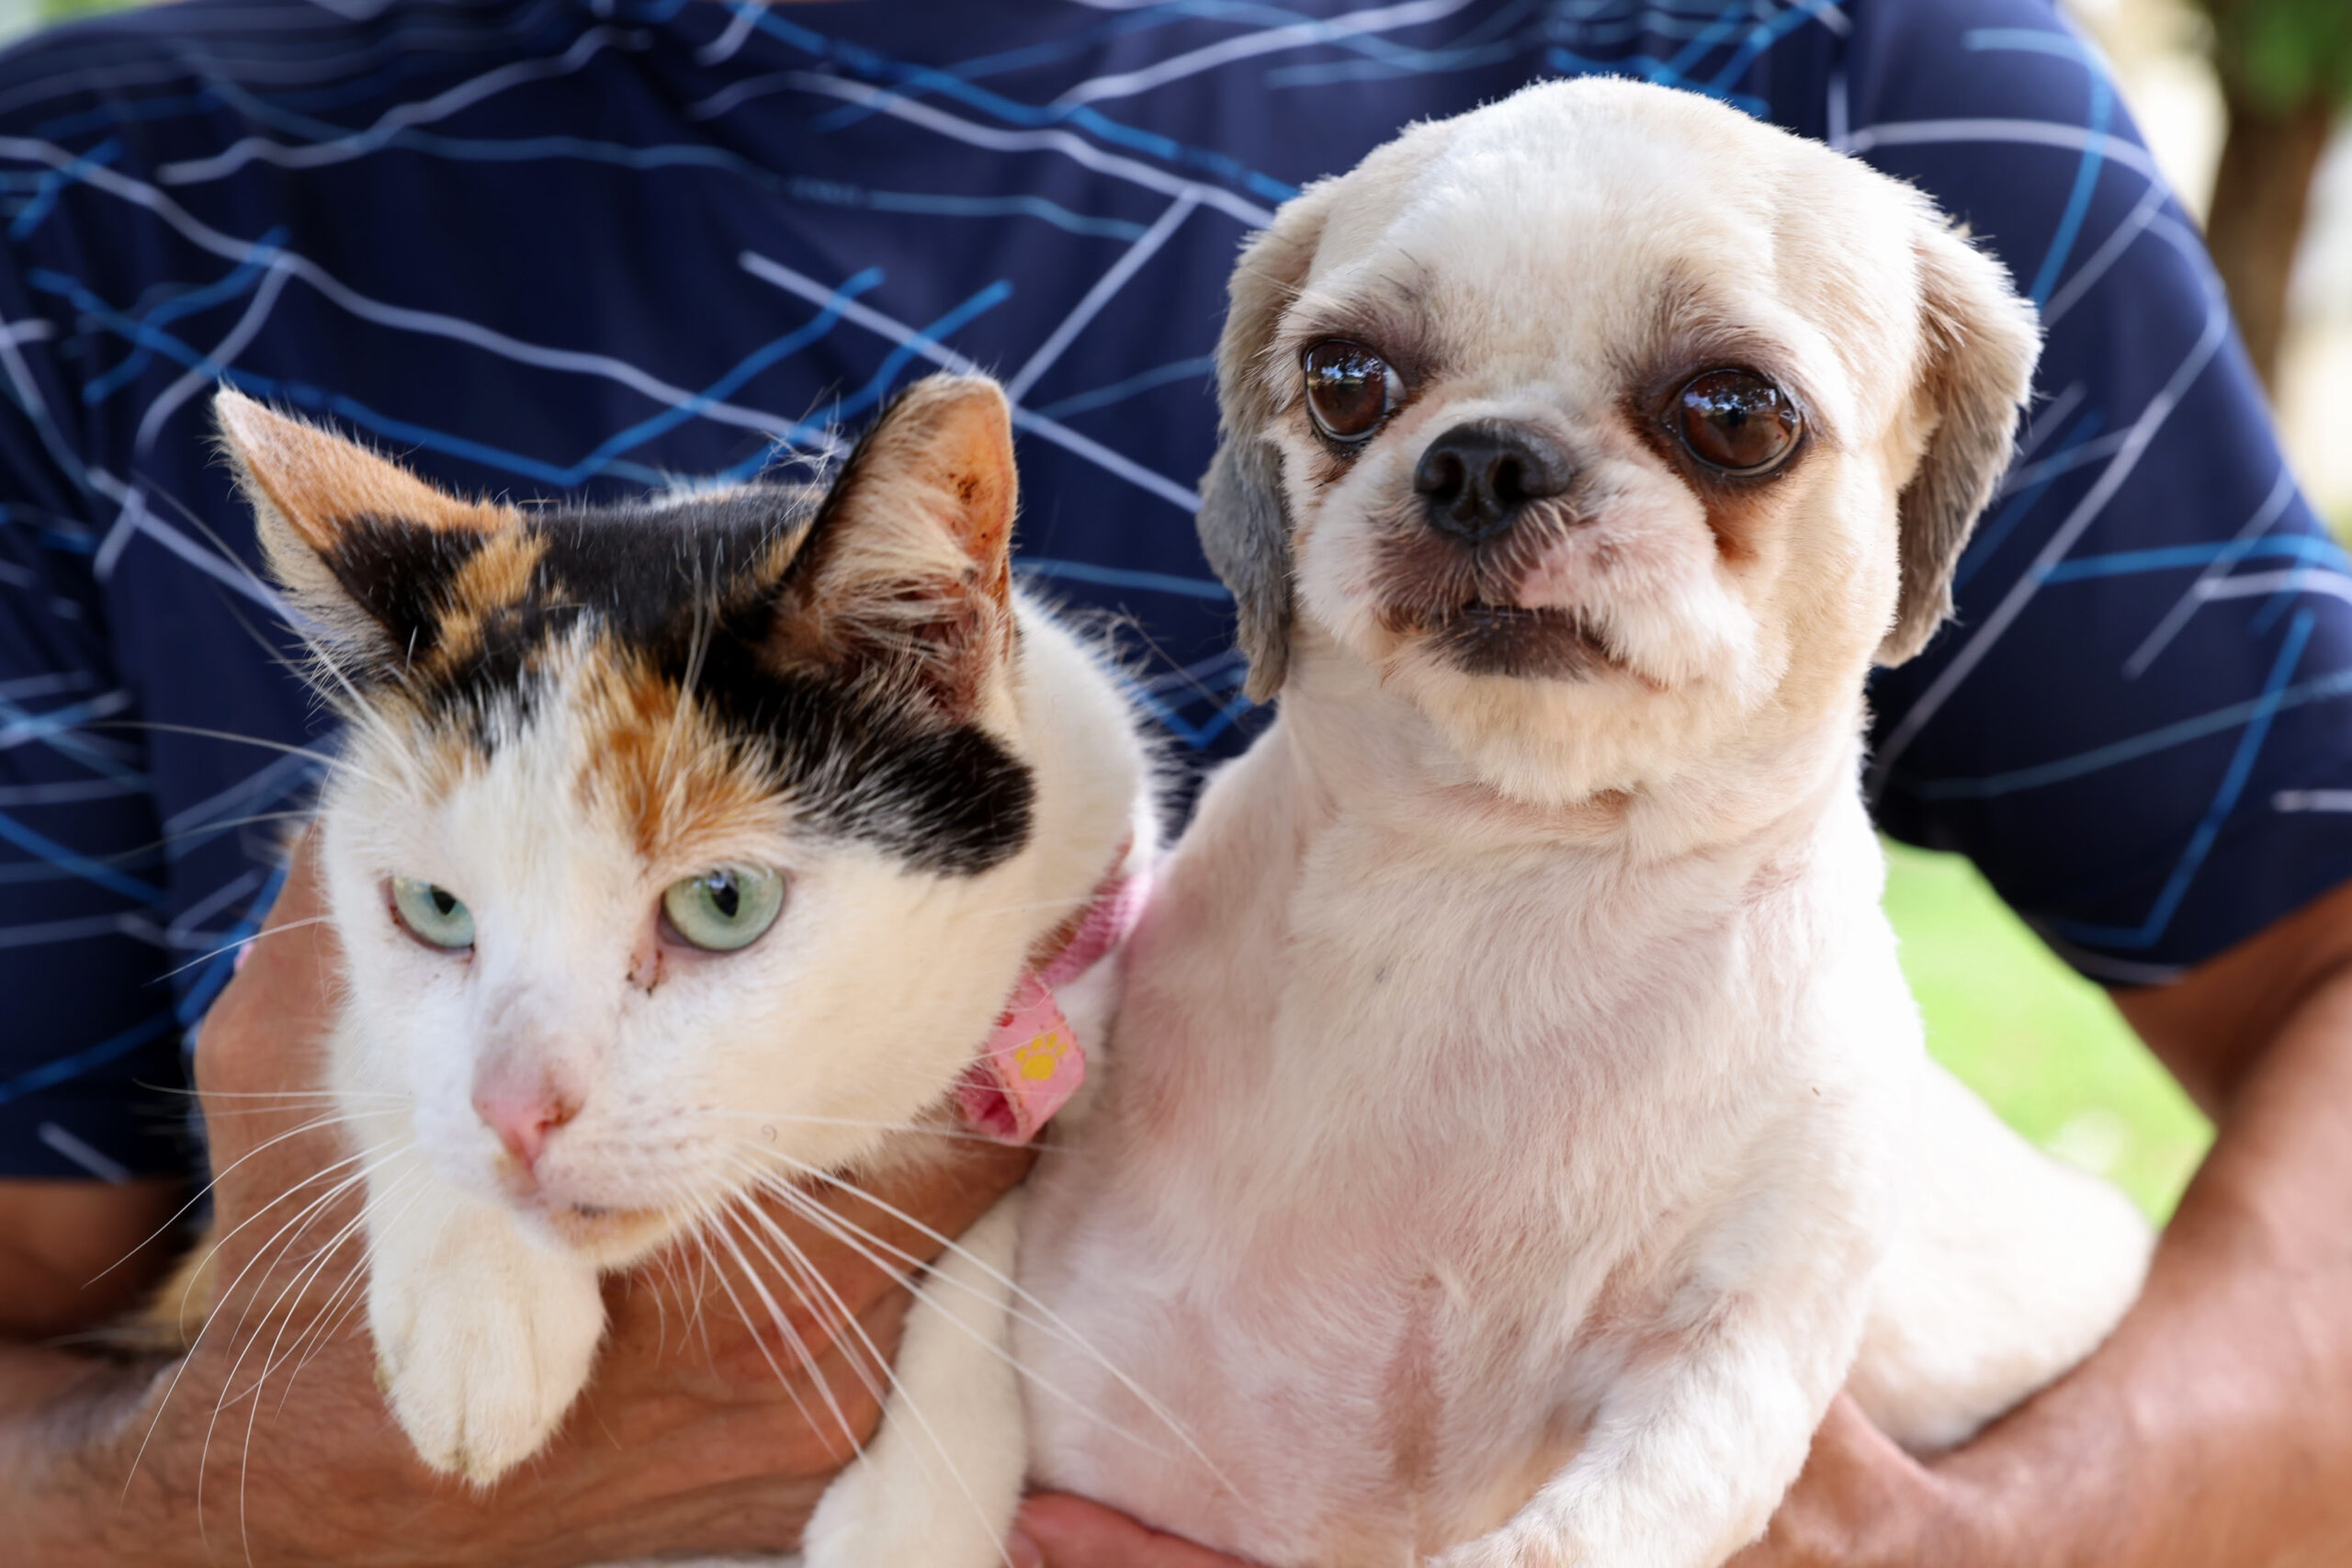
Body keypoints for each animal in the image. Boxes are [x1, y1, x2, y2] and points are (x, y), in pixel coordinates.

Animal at [211, 380, 1148, 1568]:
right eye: (434, 910)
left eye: (723, 903)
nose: (514, 1115)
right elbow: (375, 1054)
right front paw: (479, 1304)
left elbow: (999, 1225)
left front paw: (918, 1506)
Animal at [1021, 76, 2154, 1568]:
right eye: (1343, 380)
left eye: (1735, 410)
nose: (1486, 459)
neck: (1503, 878)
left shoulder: (1734, 1350)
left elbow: (1576, 1532)